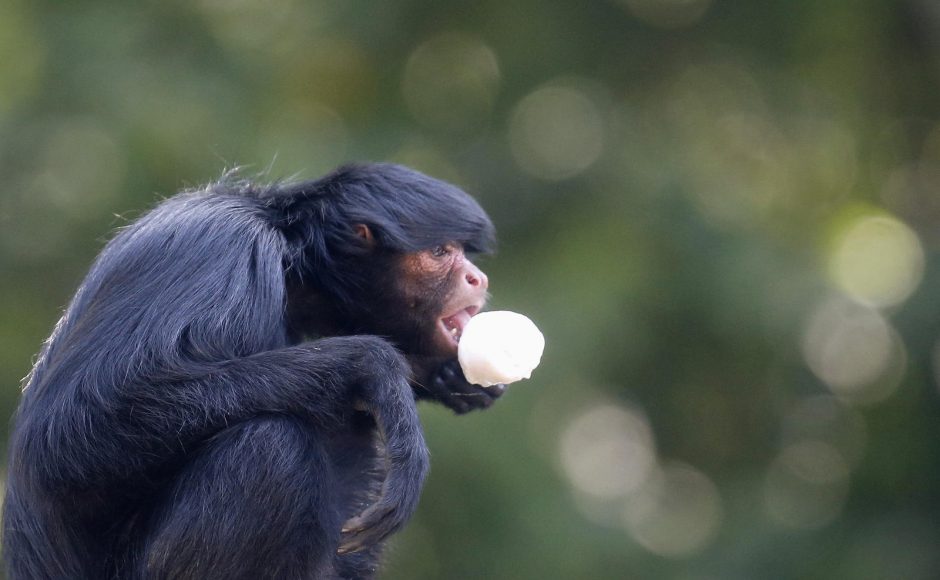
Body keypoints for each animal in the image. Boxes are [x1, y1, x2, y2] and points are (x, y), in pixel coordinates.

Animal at [3, 163, 504, 580]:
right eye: (441, 252)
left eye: (464, 252)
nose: (477, 278)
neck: (286, 249)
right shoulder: (221, 246)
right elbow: (68, 437)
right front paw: (374, 367)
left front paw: (445, 377)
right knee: (270, 446)